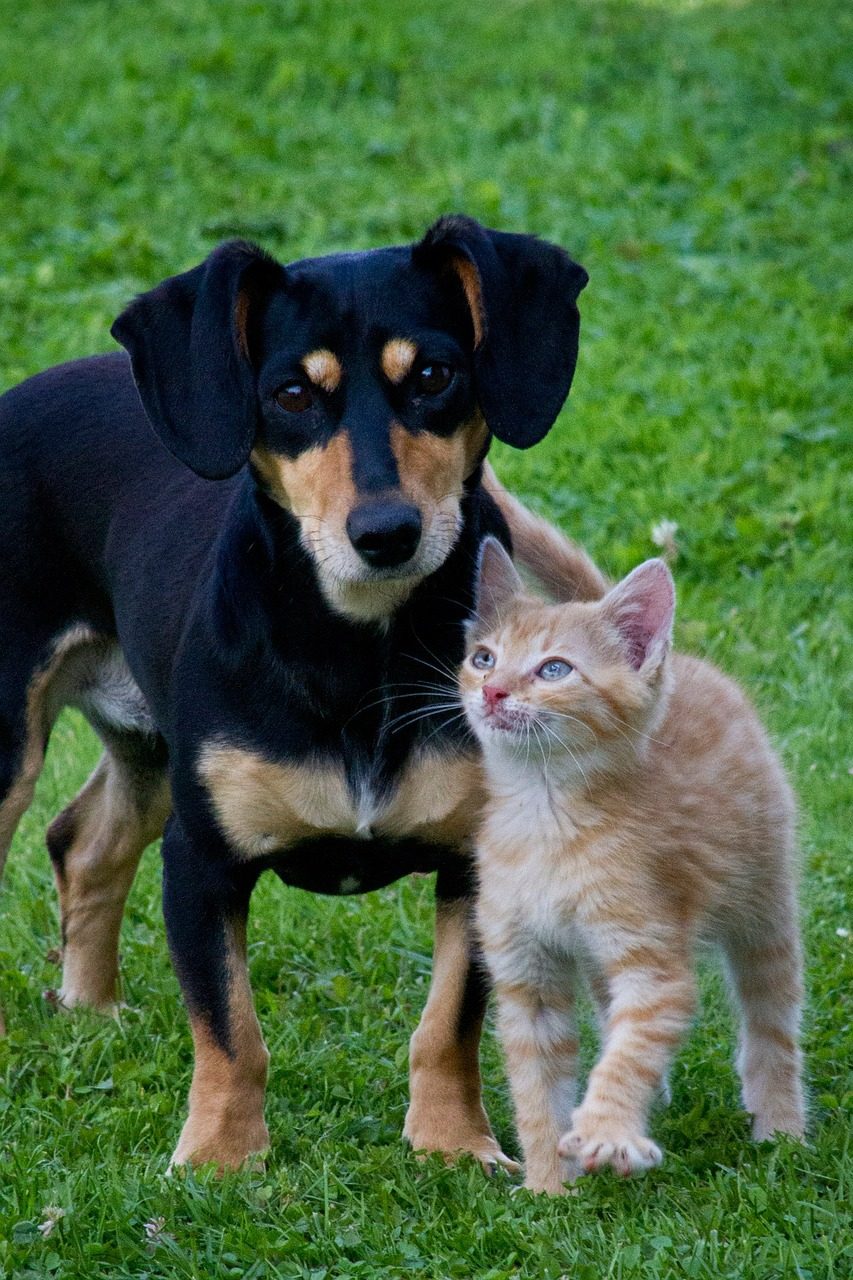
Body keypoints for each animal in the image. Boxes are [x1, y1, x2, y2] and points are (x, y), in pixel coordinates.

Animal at [0, 212, 584, 1172]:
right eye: (291, 395)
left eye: (434, 376)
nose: (385, 533)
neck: (358, 652)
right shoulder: (203, 862)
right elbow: (231, 1031)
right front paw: (220, 1160)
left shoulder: (475, 860)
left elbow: (449, 1021)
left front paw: (453, 1142)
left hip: (153, 750)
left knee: (84, 843)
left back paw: (91, 1012)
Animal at [458, 535, 804, 1192]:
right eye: (484, 658)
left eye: (554, 669)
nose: (492, 692)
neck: (543, 818)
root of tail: (685, 663)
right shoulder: (526, 977)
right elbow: (538, 1087)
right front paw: (548, 1188)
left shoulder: (654, 965)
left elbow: (630, 1050)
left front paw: (607, 1130)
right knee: (608, 1006)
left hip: (764, 902)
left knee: (772, 1020)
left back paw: (782, 1128)